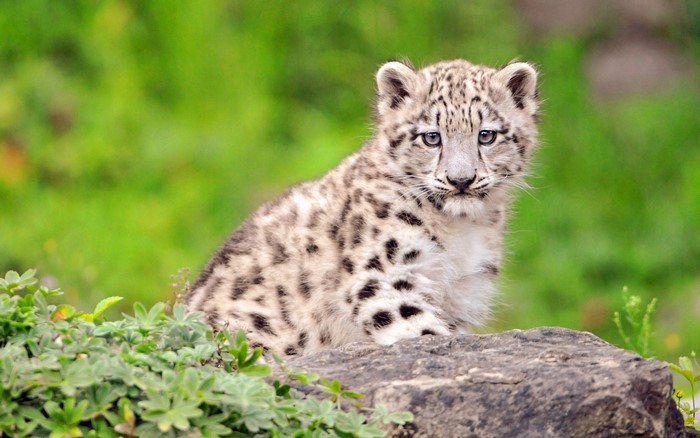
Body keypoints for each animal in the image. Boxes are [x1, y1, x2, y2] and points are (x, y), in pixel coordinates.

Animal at [185, 58, 540, 356]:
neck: (461, 230)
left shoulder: (464, 291)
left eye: (486, 135)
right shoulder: (383, 274)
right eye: (431, 137)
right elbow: (418, 328)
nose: (461, 180)